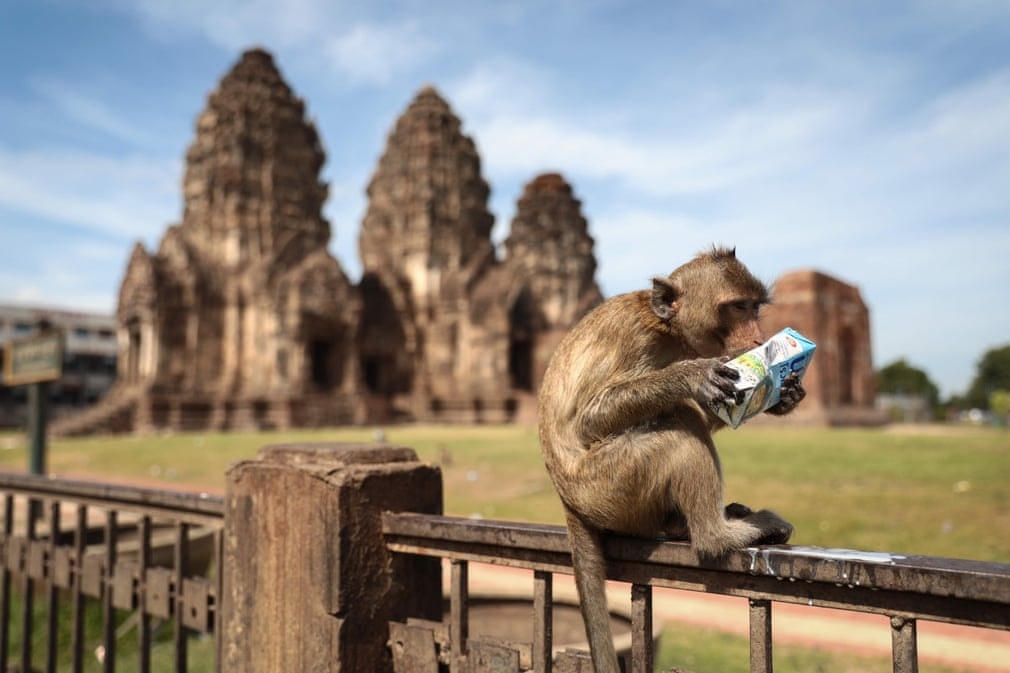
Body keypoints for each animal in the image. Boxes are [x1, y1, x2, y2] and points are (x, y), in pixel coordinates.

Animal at [538, 246, 804, 673]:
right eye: (737, 307)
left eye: (754, 307)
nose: (759, 338)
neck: (668, 330)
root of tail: (568, 501)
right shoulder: (634, 337)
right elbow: (590, 418)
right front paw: (691, 375)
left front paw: (786, 393)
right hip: (609, 485)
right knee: (680, 427)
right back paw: (718, 534)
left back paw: (687, 524)